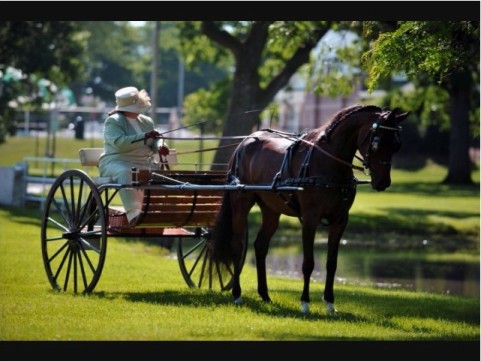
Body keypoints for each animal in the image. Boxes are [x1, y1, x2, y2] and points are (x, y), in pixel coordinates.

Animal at [212, 104, 406, 312]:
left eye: (396, 144)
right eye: (377, 142)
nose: (383, 182)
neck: (329, 163)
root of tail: (246, 140)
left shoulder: (340, 220)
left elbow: (331, 264)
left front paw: (329, 302)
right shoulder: (310, 219)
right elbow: (308, 263)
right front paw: (305, 302)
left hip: (271, 209)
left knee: (261, 246)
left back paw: (264, 295)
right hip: (241, 203)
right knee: (237, 246)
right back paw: (237, 294)